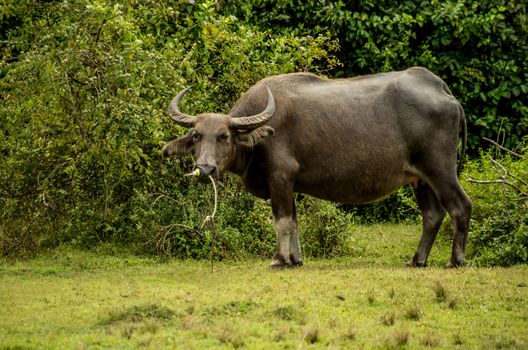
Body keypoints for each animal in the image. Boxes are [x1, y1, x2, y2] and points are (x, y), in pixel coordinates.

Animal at [163, 66, 472, 268]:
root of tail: (442, 89)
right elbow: (293, 221)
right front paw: (295, 259)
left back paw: (455, 261)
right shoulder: (289, 183)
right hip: (420, 178)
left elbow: (281, 220)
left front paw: (279, 259)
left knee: (460, 207)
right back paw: (416, 260)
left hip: (440, 169)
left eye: (224, 136)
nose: (205, 169)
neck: (260, 134)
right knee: (432, 215)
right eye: (196, 136)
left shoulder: (280, 177)